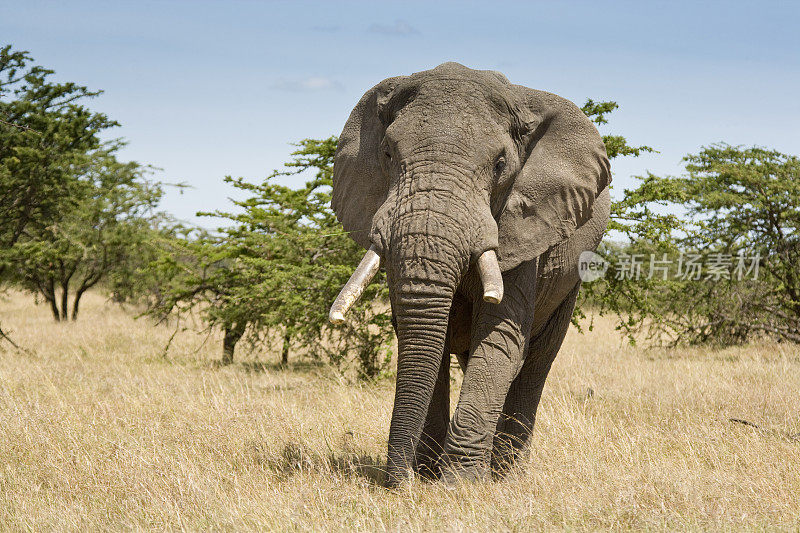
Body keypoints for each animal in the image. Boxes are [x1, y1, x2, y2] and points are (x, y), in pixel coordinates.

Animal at [328, 63, 608, 486]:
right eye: (388, 153)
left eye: (500, 165)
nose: (398, 483)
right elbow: (423, 335)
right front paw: (426, 475)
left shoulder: (525, 226)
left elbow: (499, 337)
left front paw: (459, 484)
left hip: (569, 279)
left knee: (536, 363)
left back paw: (508, 473)